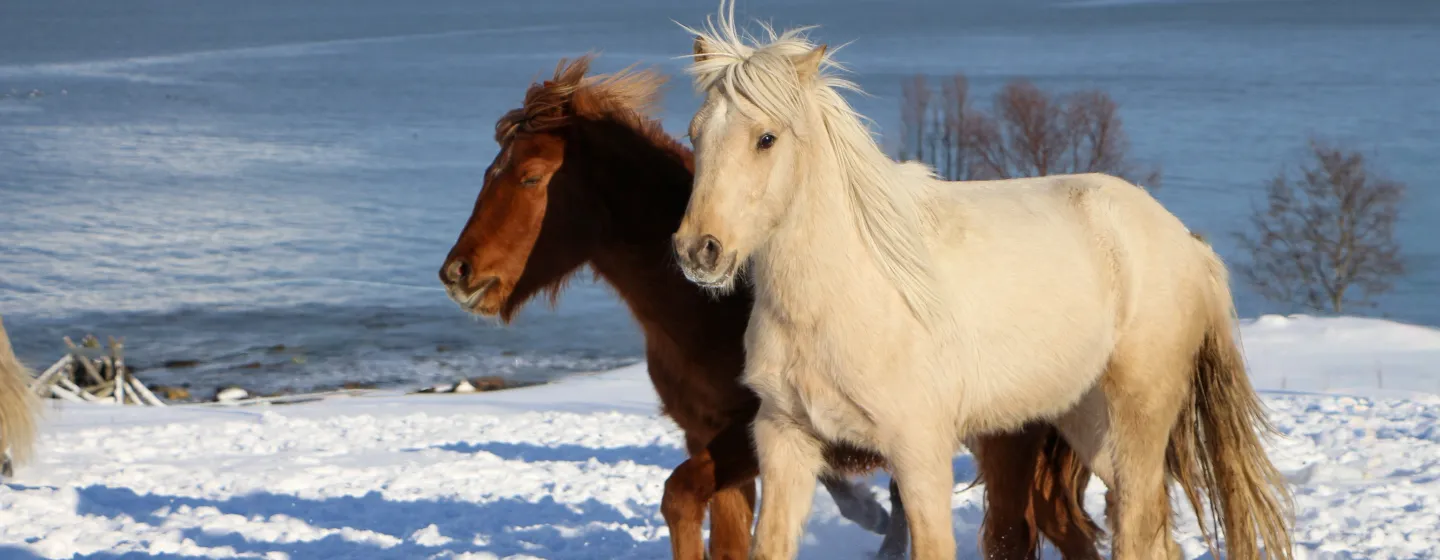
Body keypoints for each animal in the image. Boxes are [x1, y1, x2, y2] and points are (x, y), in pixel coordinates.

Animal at [437, 56, 1100, 558]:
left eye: (529, 176)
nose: (457, 273)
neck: (706, 312)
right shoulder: (712, 436)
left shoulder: (747, 433)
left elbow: (680, 496)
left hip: (1008, 441)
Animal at [671, 2, 1296, 555]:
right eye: (696, 132)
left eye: (766, 138)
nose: (700, 250)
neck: (845, 296)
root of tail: (1186, 243)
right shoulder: (786, 440)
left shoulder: (919, 451)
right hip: (1090, 427)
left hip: (1137, 420)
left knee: (1138, 530)